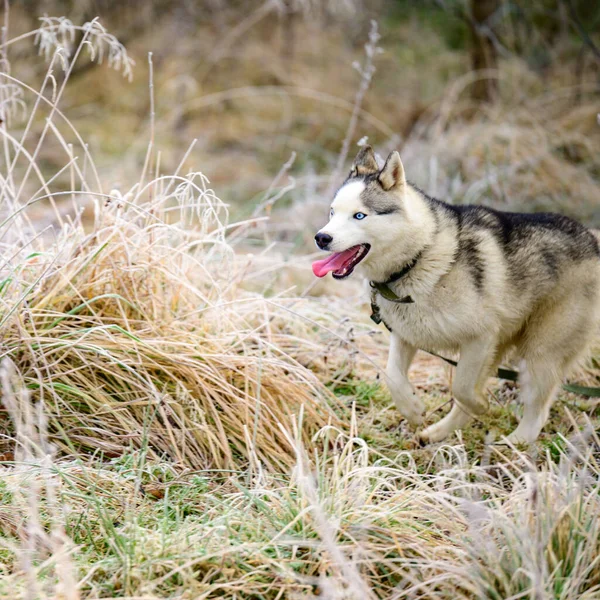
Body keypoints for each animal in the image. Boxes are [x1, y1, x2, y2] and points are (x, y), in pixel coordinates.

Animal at [314, 146, 600, 442]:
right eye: (332, 213)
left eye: (359, 215)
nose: (321, 237)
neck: (419, 256)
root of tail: (591, 239)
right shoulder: (406, 335)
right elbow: (393, 375)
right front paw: (413, 410)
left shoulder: (480, 338)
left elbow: (461, 389)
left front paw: (481, 406)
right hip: (503, 349)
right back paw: (438, 433)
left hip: (540, 354)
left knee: (537, 411)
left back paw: (512, 444)